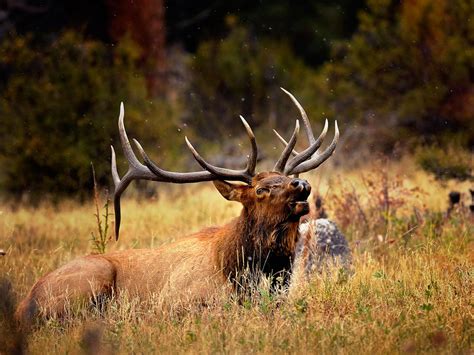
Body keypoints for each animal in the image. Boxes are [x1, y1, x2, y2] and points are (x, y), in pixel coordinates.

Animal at [16, 89, 338, 328]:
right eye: (260, 190)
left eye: (284, 178)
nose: (301, 184)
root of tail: (24, 304)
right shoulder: (177, 300)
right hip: (91, 280)